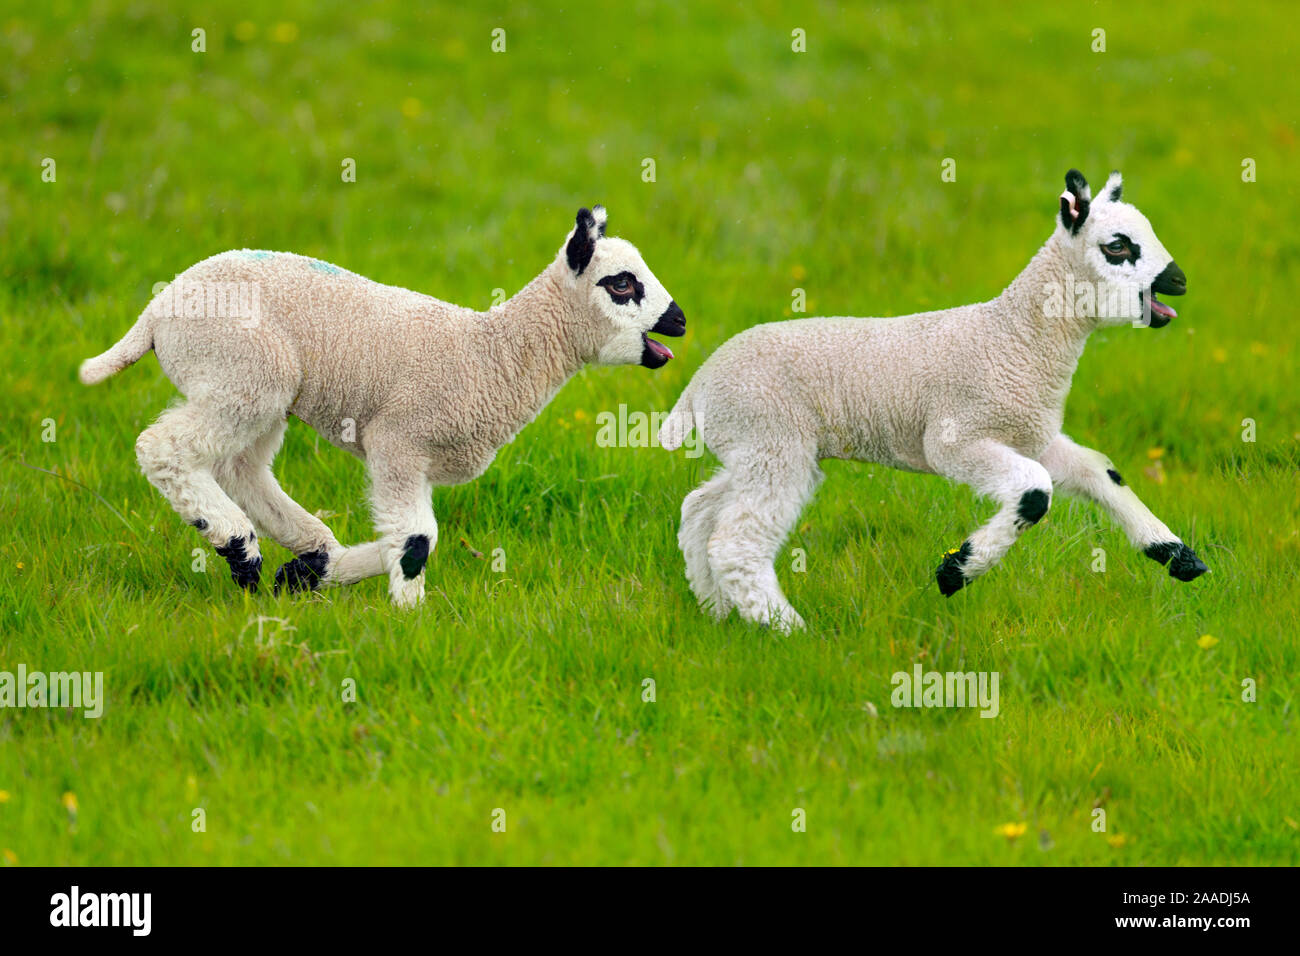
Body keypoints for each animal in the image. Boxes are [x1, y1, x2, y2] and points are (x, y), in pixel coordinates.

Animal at [78, 205, 691, 606]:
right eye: (621, 285)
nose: (680, 321)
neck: (491, 356)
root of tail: (158, 309)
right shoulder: (399, 441)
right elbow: (418, 540)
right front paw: (411, 621)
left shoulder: (415, 458)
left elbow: (407, 538)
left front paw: (316, 577)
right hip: (243, 370)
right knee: (164, 448)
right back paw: (239, 547)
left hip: (256, 388)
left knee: (241, 466)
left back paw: (308, 554)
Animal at [665, 170, 1211, 634]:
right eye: (1117, 246)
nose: (1180, 281)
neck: (1015, 338)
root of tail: (699, 384)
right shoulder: (956, 439)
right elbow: (1034, 493)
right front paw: (957, 571)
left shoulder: (1031, 435)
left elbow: (1101, 473)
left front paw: (1179, 556)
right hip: (771, 440)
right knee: (735, 543)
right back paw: (787, 630)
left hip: (752, 448)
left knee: (699, 512)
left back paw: (717, 611)